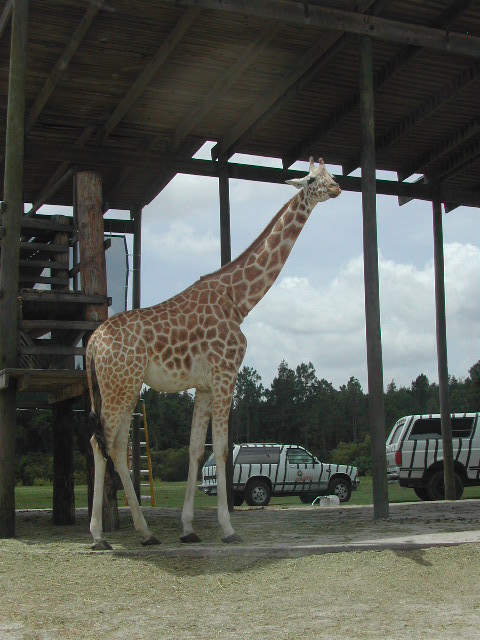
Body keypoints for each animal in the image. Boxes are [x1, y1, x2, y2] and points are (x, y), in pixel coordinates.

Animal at [87, 158, 342, 548]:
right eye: (312, 179)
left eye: (331, 175)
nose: (337, 188)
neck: (239, 301)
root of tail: (91, 343)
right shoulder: (226, 374)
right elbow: (222, 449)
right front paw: (227, 528)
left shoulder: (204, 385)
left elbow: (196, 450)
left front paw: (188, 529)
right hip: (121, 386)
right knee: (103, 443)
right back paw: (106, 535)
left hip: (116, 388)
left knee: (110, 444)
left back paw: (141, 533)